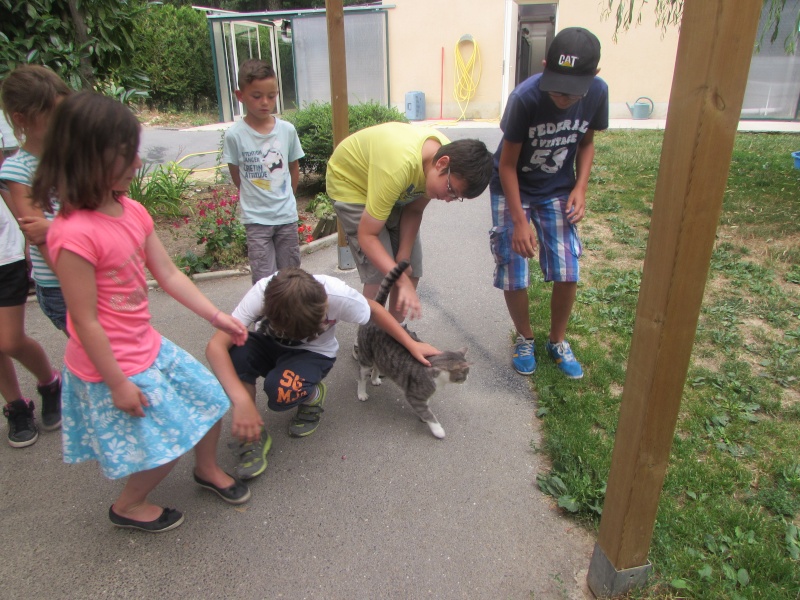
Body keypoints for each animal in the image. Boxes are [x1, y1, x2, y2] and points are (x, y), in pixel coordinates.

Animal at [356, 260, 468, 438]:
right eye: (464, 373)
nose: (466, 379)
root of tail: (376, 311)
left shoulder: (423, 397)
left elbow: (426, 407)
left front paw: (424, 419)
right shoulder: (414, 396)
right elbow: (428, 413)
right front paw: (437, 429)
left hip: (380, 355)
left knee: (377, 366)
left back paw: (375, 379)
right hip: (366, 356)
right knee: (361, 376)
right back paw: (362, 393)